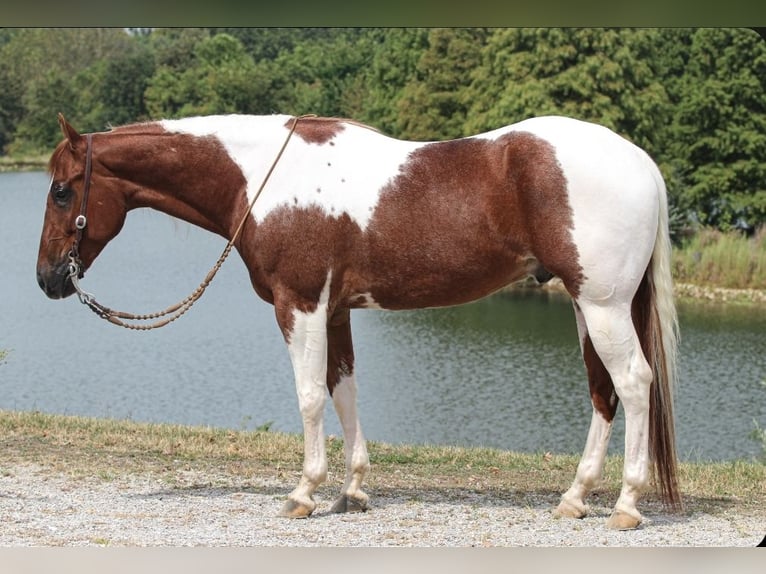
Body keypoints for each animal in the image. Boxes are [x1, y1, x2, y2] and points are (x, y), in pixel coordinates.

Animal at [36, 112, 680, 530]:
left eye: (63, 192)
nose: (48, 279)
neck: (264, 178)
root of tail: (641, 161)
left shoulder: (299, 305)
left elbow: (308, 397)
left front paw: (304, 492)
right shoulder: (337, 311)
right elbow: (342, 391)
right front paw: (352, 490)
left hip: (602, 306)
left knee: (633, 384)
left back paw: (625, 506)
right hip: (586, 307)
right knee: (602, 392)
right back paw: (574, 499)